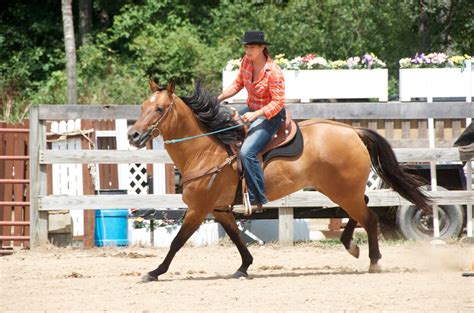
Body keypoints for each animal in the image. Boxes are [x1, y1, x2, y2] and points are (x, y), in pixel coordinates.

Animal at [127, 80, 430, 280]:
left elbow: (177, 242)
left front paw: (155, 271)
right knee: (362, 210)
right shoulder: (219, 209)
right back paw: (352, 246)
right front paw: (244, 267)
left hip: (343, 191)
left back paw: (373, 261)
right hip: (341, 190)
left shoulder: (198, 209)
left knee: (370, 218)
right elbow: (237, 237)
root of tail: (353, 131)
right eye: (141, 106)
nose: (133, 135)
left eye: (160, 109)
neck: (205, 150)